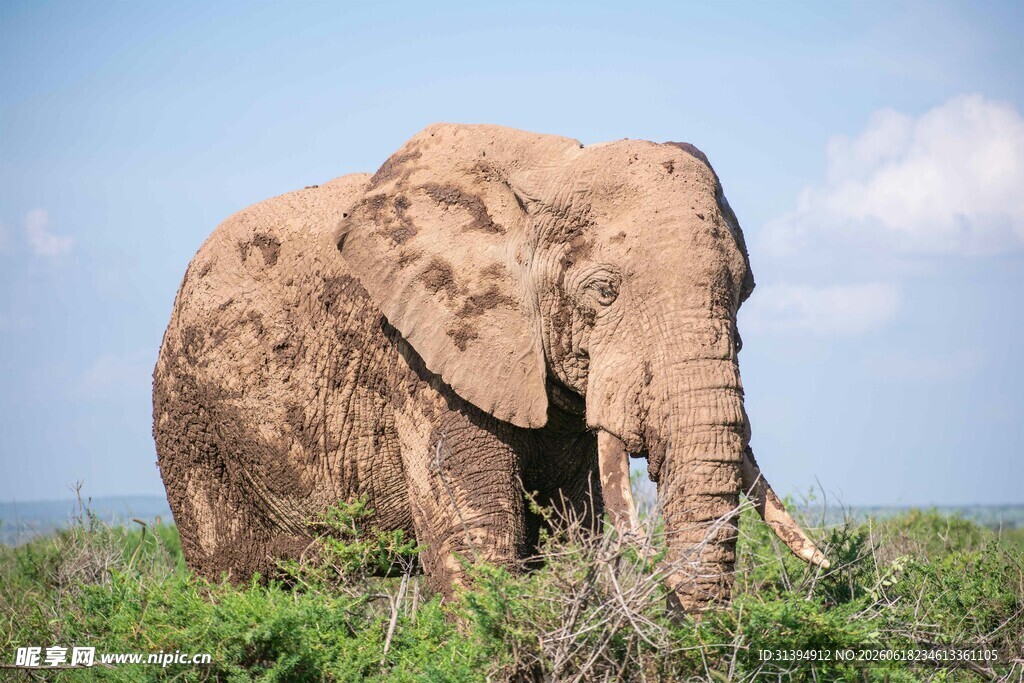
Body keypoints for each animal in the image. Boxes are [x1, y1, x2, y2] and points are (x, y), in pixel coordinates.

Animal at [153, 123, 827, 612]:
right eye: (603, 293)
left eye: (742, 294)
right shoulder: (424, 356)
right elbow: (479, 544)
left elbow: (575, 534)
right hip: (190, 418)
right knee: (230, 574)